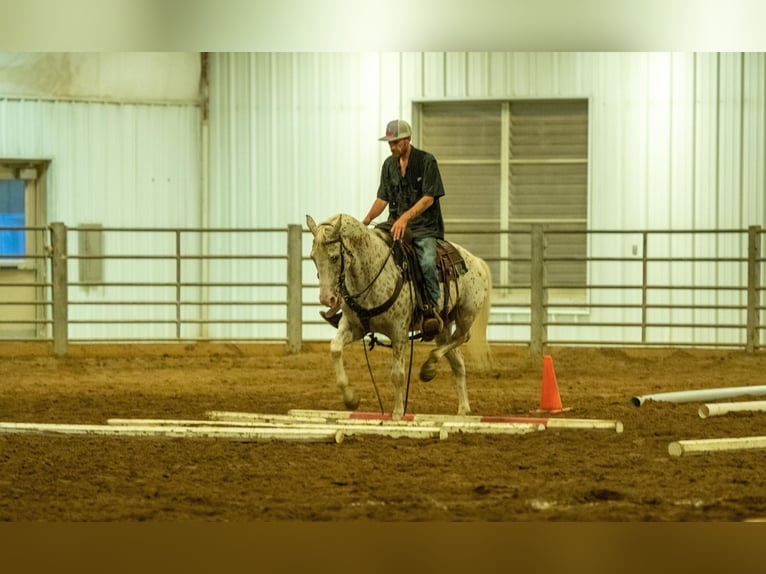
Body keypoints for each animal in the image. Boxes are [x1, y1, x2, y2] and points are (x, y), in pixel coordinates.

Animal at [308, 214, 496, 420]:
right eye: (313, 257)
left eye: (334, 257)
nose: (327, 299)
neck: (372, 274)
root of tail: (476, 260)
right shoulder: (354, 326)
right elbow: (335, 348)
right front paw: (350, 399)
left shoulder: (399, 332)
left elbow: (397, 374)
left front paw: (398, 413)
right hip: (442, 326)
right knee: (457, 360)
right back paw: (461, 407)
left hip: (466, 314)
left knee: (462, 337)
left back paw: (429, 368)